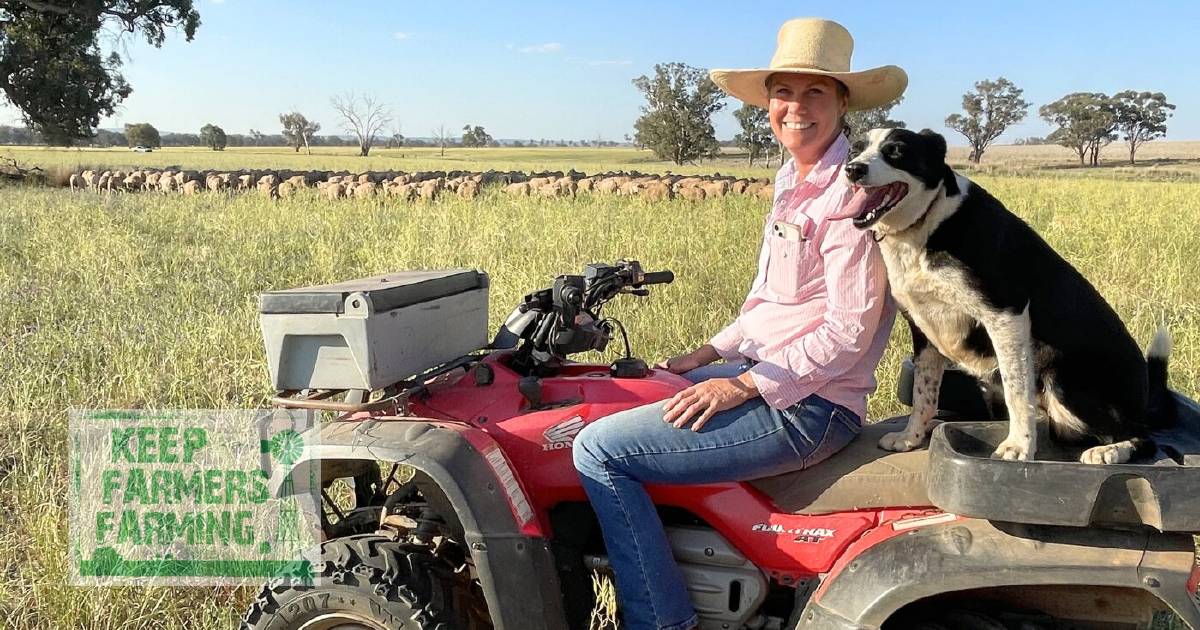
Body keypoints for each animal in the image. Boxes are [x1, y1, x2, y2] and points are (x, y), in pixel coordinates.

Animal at [844, 127, 1171, 460]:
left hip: (1064, 381)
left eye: (895, 150)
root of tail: (1144, 398)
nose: (853, 169)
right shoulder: (923, 328)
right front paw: (910, 437)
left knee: (1145, 438)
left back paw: (1110, 451)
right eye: (855, 150)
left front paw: (1018, 446)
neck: (927, 223)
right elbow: (924, 394)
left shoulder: (1005, 315)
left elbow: (1017, 391)